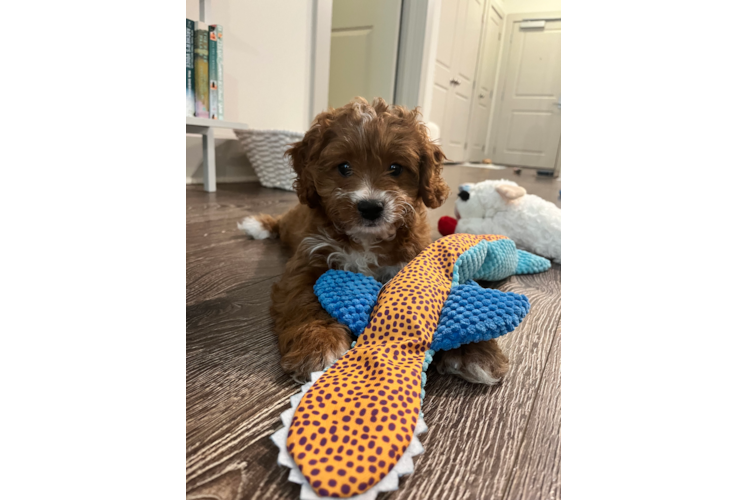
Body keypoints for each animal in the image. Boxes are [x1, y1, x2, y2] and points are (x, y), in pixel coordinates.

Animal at [240, 98, 508, 386]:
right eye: (344, 167)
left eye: (396, 168)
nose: (370, 207)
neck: (367, 239)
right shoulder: (307, 261)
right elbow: (305, 301)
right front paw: (317, 344)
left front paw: (476, 350)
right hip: (292, 222)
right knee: (280, 223)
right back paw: (259, 225)